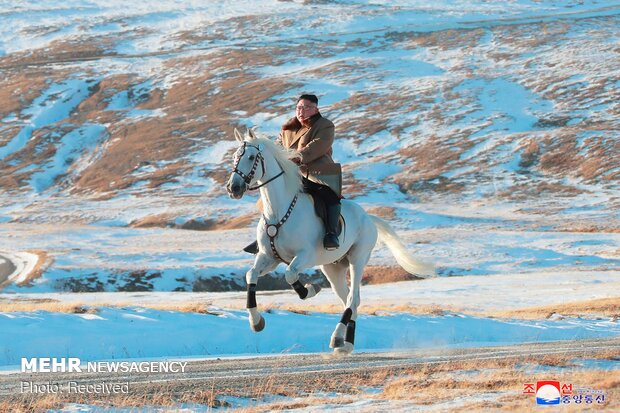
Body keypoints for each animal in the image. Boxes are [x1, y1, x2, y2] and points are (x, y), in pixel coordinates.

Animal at [225, 130, 434, 354]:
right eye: (234, 157)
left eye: (251, 157)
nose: (233, 187)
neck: (279, 211)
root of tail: (368, 217)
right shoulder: (269, 257)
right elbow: (251, 275)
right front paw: (256, 322)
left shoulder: (305, 256)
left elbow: (290, 274)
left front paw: (310, 290)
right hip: (332, 268)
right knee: (350, 301)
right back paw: (346, 343)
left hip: (357, 260)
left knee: (352, 299)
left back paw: (337, 338)